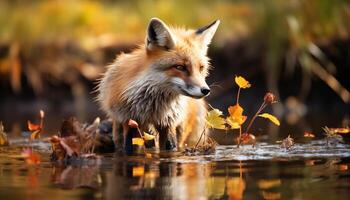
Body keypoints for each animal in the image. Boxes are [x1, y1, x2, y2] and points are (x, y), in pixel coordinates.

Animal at [97, 18, 220, 151]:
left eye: (201, 68)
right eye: (180, 67)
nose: (206, 90)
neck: (152, 110)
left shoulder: (168, 123)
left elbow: (171, 148)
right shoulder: (129, 121)